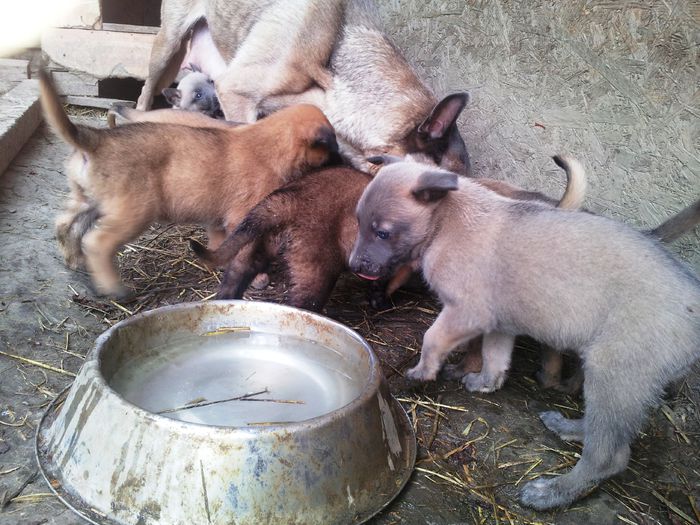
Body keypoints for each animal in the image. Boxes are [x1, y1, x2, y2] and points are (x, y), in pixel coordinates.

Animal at [38, 69, 340, 296]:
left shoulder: (218, 220)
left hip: (87, 200)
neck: (267, 143)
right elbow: (242, 250)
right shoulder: (242, 217)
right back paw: (113, 287)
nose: (344, 163)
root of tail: (96, 139)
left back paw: (73, 260)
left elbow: (221, 245)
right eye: (333, 146)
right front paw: (256, 277)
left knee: (64, 224)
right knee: (97, 242)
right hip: (134, 213)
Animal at [350, 157, 700, 508]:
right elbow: (494, 358)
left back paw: (552, 492)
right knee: (602, 431)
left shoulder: (466, 311)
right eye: (358, 221)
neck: (445, 222)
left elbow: (432, 339)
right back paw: (568, 427)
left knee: (608, 456)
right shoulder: (499, 323)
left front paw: (422, 372)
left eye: (382, 232)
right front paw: (485, 383)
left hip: (615, 373)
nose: (353, 266)